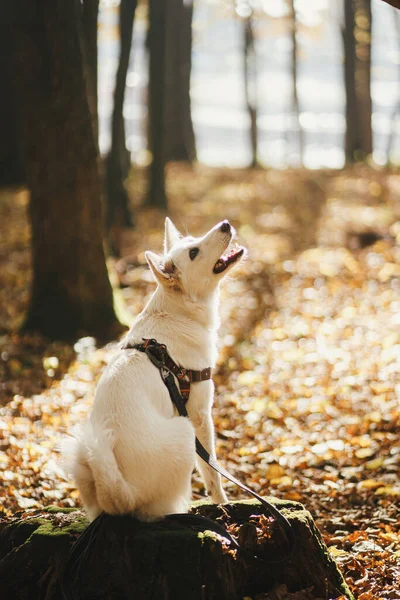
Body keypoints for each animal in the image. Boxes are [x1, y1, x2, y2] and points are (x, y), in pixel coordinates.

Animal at [63, 219, 244, 520]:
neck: (178, 311)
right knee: (160, 509)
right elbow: (211, 469)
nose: (226, 224)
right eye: (193, 252)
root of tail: (120, 496)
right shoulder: (198, 413)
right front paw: (223, 503)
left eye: (193, 241)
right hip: (184, 431)